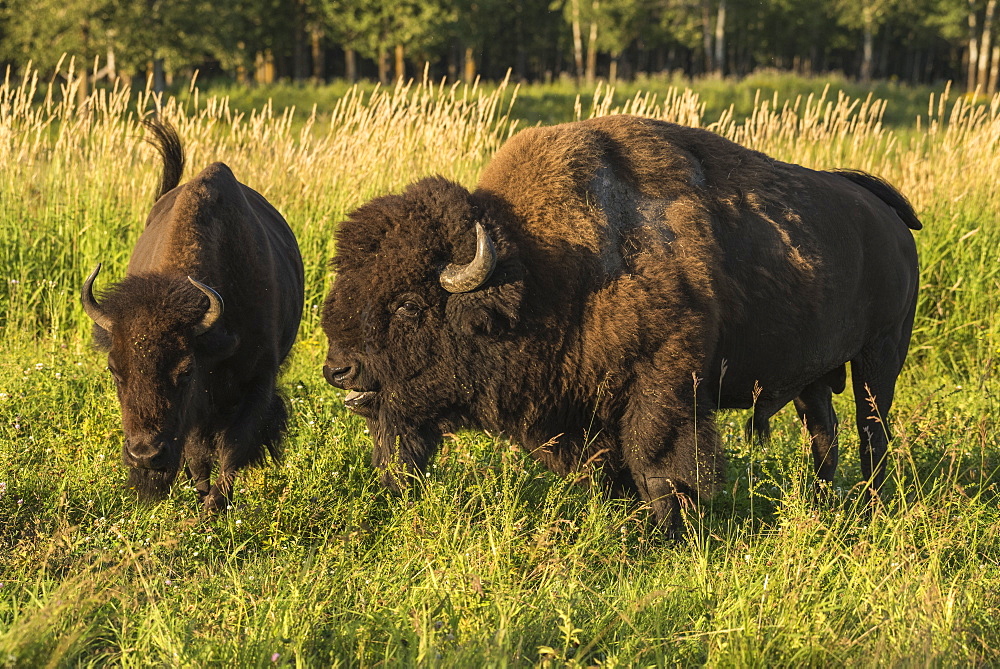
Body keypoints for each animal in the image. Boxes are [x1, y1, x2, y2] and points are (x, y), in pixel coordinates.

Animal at [82, 120, 302, 508]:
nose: (145, 455)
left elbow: (232, 450)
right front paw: (203, 499)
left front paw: (213, 507)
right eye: (113, 370)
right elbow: (199, 456)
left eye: (186, 371)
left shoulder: (258, 382)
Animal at [322, 116, 920, 532]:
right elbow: (614, 470)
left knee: (872, 431)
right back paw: (822, 502)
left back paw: (869, 504)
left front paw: (669, 535)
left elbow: (656, 465)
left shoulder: (665, 387)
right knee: (824, 430)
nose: (338, 371)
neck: (543, 269)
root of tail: (887, 213)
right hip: (813, 375)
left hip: (879, 357)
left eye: (407, 304)